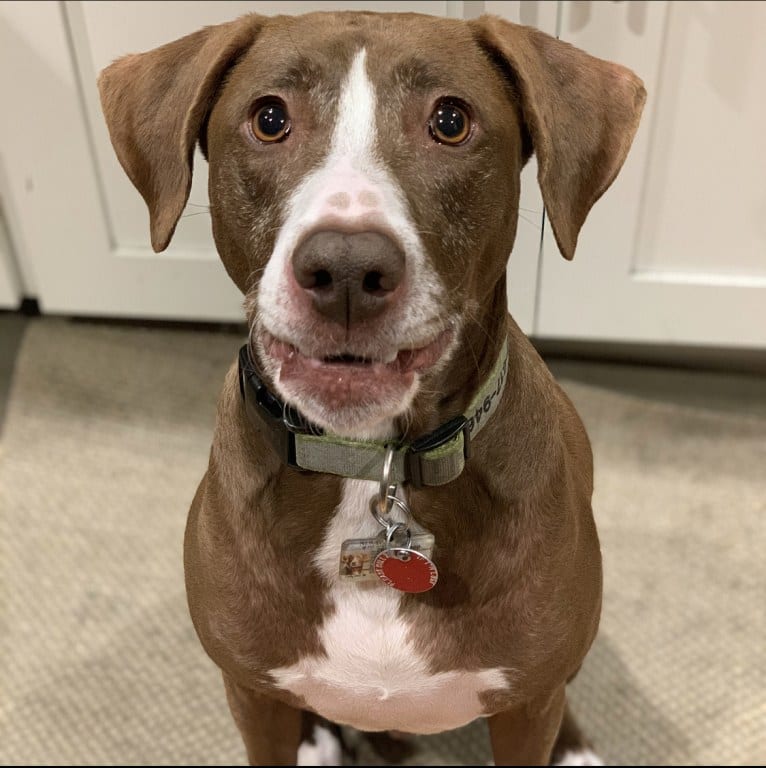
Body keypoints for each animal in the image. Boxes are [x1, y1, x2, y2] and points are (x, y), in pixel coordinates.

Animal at [99, 9, 644, 764]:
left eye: (451, 120)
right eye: (269, 117)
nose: (348, 269)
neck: (373, 468)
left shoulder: (525, 703)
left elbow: (538, 699)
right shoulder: (251, 693)